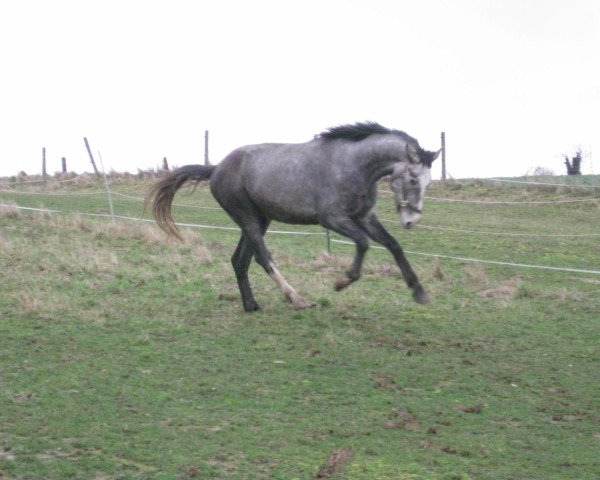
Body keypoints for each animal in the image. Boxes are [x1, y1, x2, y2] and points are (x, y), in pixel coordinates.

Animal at [147, 122, 440, 314]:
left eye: (428, 182)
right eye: (413, 179)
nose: (411, 221)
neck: (354, 165)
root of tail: (217, 168)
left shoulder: (364, 216)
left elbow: (393, 245)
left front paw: (419, 292)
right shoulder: (332, 219)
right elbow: (362, 243)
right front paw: (342, 281)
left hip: (259, 220)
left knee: (240, 260)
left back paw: (251, 305)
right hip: (248, 219)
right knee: (263, 257)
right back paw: (296, 298)